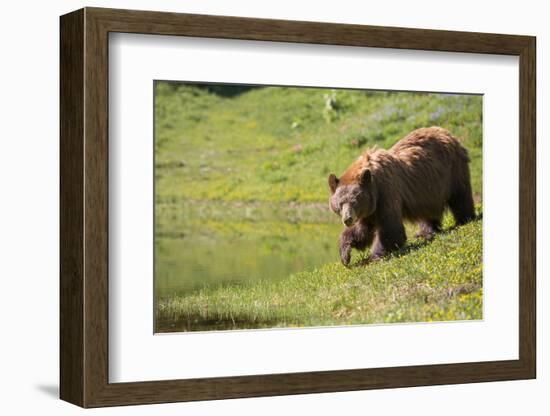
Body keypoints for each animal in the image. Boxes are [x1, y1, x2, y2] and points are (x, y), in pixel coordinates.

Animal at [330, 125, 476, 266]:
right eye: (340, 203)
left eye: (354, 201)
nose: (347, 219)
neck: (374, 185)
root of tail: (446, 132)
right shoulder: (370, 209)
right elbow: (363, 230)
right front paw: (345, 254)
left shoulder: (387, 192)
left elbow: (390, 228)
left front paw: (375, 256)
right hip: (428, 189)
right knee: (428, 210)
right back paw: (425, 232)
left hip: (452, 170)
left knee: (460, 196)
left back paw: (464, 219)